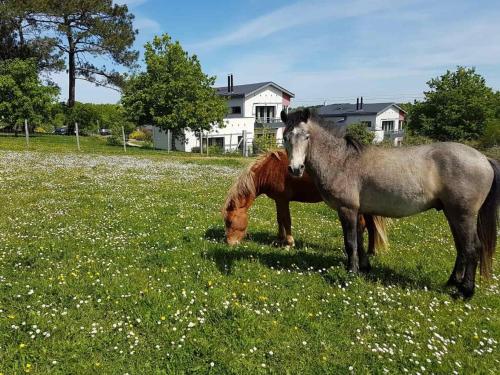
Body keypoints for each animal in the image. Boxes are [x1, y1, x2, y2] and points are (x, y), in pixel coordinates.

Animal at [221, 151, 388, 254]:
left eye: (230, 222)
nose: (229, 243)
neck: (269, 169)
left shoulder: (283, 200)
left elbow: (286, 220)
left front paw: (289, 243)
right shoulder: (278, 200)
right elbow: (279, 219)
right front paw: (279, 239)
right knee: (370, 226)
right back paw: (371, 251)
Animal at [282, 108, 496, 300]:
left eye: (306, 137)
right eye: (286, 137)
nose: (295, 169)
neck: (342, 160)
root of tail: (484, 159)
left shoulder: (347, 210)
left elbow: (350, 243)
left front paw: (351, 273)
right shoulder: (357, 211)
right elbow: (359, 240)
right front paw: (364, 268)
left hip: (463, 215)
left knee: (472, 248)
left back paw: (465, 292)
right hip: (452, 214)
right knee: (461, 247)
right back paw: (452, 282)